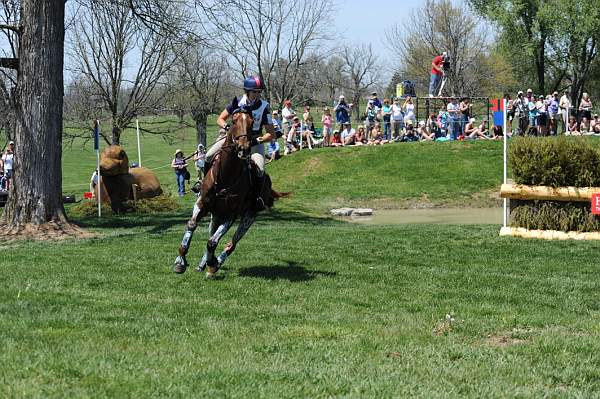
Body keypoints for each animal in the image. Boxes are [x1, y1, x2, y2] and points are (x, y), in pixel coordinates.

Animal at [173, 109, 286, 278]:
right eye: (233, 121)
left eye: (252, 123)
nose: (243, 147)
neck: (226, 175)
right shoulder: (202, 204)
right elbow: (192, 225)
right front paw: (180, 261)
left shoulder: (230, 215)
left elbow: (213, 242)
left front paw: (212, 263)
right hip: (215, 216)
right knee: (212, 235)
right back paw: (203, 265)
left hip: (248, 217)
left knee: (230, 244)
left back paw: (214, 265)